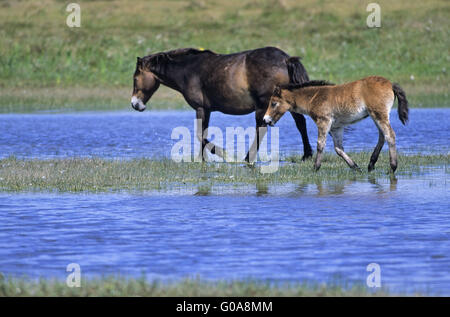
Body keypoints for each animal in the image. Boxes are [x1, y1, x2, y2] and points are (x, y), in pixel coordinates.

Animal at [262, 76, 410, 173]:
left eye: (273, 103)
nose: (266, 120)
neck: (314, 97)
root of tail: (390, 84)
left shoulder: (324, 121)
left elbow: (320, 145)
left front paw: (315, 168)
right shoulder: (336, 127)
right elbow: (338, 148)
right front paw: (355, 167)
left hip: (379, 115)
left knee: (390, 135)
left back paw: (392, 167)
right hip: (376, 116)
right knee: (382, 136)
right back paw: (371, 165)